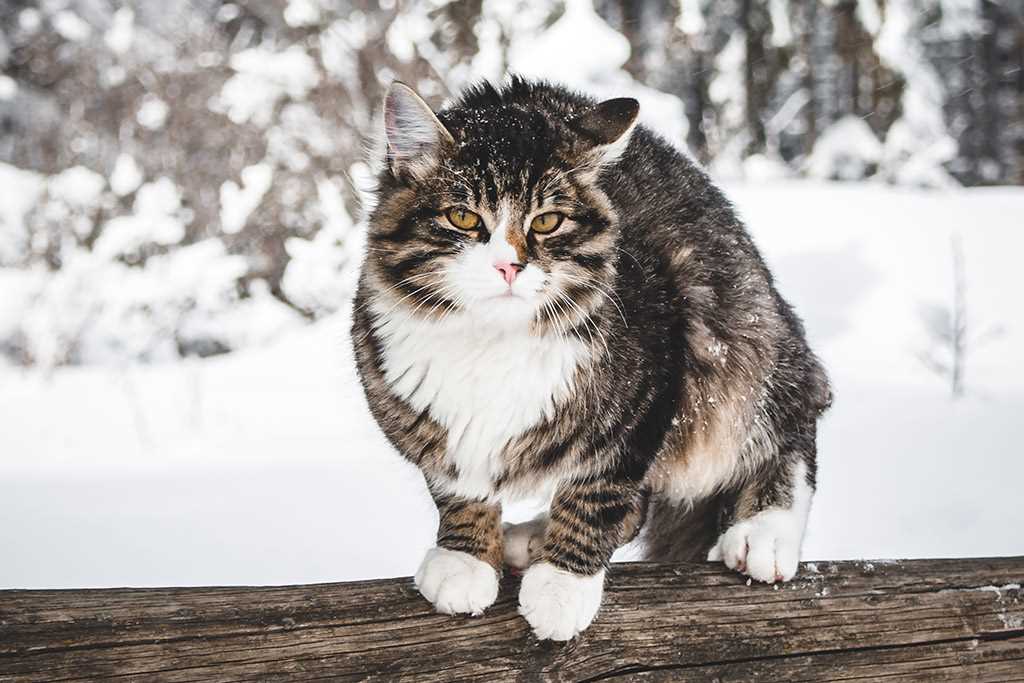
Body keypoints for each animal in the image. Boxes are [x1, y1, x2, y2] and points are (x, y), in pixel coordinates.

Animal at [352, 78, 831, 643]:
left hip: (742, 346)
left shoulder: (650, 390)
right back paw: (530, 535)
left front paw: (563, 585)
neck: (491, 339)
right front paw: (464, 557)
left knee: (788, 425)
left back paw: (764, 531)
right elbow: (456, 487)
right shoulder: (424, 416)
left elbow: (598, 496)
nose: (509, 266)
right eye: (463, 217)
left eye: (547, 221)